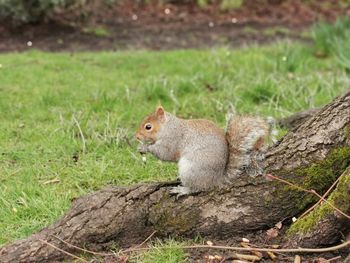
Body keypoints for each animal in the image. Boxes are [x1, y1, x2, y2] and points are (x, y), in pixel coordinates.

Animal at [135, 106, 274, 197]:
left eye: (148, 127)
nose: (136, 136)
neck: (168, 127)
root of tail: (216, 178)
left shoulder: (173, 140)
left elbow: (165, 153)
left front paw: (145, 147)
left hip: (191, 170)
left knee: (198, 188)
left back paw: (183, 190)